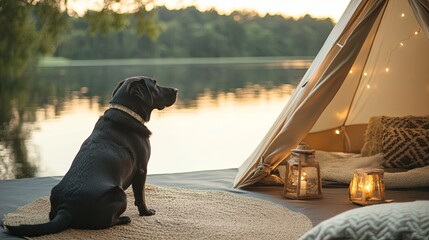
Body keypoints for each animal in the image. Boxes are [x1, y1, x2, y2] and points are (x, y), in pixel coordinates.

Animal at [4, 76, 177, 236]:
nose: (176, 90)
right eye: (155, 84)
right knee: (107, 222)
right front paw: (147, 213)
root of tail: (66, 209)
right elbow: (141, 196)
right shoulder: (142, 169)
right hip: (119, 194)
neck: (126, 112)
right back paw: (124, 219)